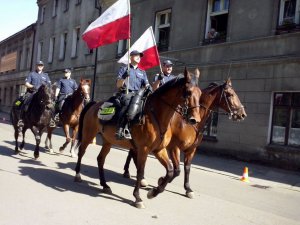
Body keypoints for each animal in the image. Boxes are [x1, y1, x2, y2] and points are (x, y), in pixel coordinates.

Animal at [74, 68, 203, 207]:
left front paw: (153, 192)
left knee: (100, 159)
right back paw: (78, 175)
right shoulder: (143, 149)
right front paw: (137, 197)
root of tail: (94, 104)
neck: (156, 115)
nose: (195, 120)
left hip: (108, 141)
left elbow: (170, 171)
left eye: (200, 94)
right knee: (81, 151)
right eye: (188, 92)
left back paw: (105, 185)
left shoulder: (159, 150)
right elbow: (140, 172)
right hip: (88, 135)